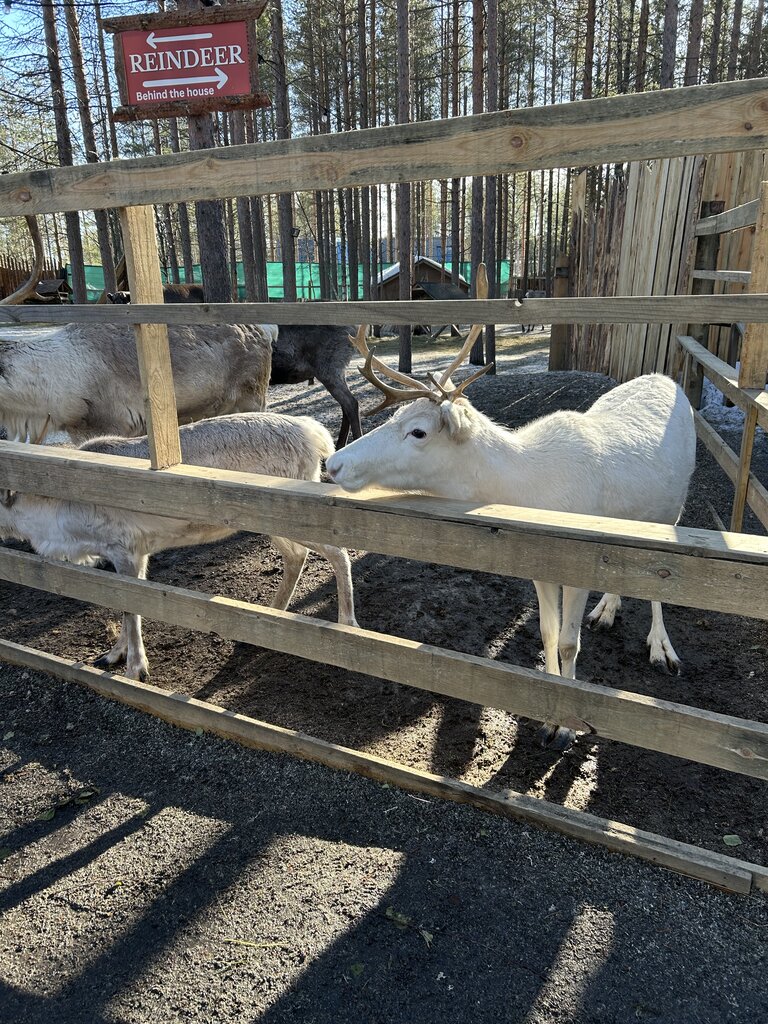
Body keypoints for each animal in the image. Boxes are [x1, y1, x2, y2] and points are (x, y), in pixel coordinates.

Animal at [0, 412, 357, 681]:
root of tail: (313, 433)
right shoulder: (138, 552)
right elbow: (125, 602)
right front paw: (113, 655)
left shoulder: (124, 550)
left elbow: (130, 607)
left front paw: (136, 669)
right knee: (297, 555)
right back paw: (271, 614)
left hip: (291, 516)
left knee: (338, 553)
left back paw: (347, 624)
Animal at [326, 303, 696, 750]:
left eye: (418, 431)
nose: (333, 463)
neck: (526, 490)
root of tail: (667, 379)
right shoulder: (538, 568)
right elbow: (547, 633)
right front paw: (548, 718)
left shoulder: (579, 566)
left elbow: (569, 643)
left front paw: (567, 728)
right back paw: (608, 609)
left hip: (673, 509)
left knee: (661, 582)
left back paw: (661, 646)